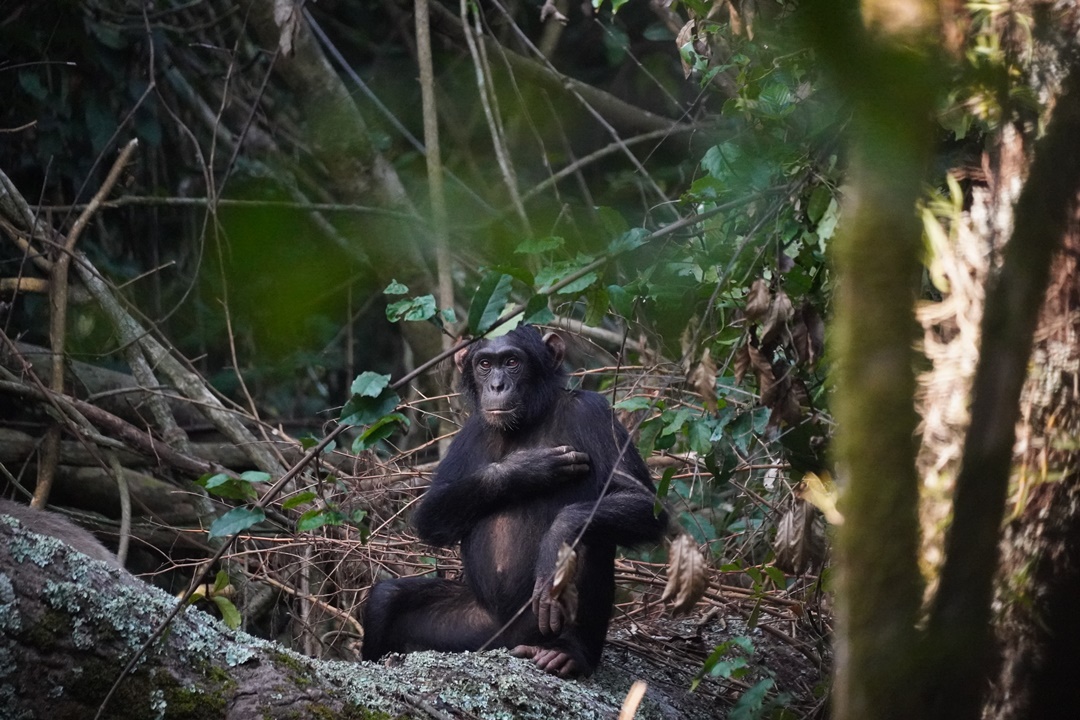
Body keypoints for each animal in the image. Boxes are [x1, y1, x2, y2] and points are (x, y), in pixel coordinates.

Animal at [362, 325, 665, 677]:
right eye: (484, 364)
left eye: (511, 362)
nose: (496, 385)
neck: (528, 420)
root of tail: (507, 642)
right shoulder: (470, 432)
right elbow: (429, 515)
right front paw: (526, 467)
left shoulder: (594, 412)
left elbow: (645, 505)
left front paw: (555, 541)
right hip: (472, 628)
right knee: (387, 597)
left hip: (537, 625)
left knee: (590, 537)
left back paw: (569, 653)